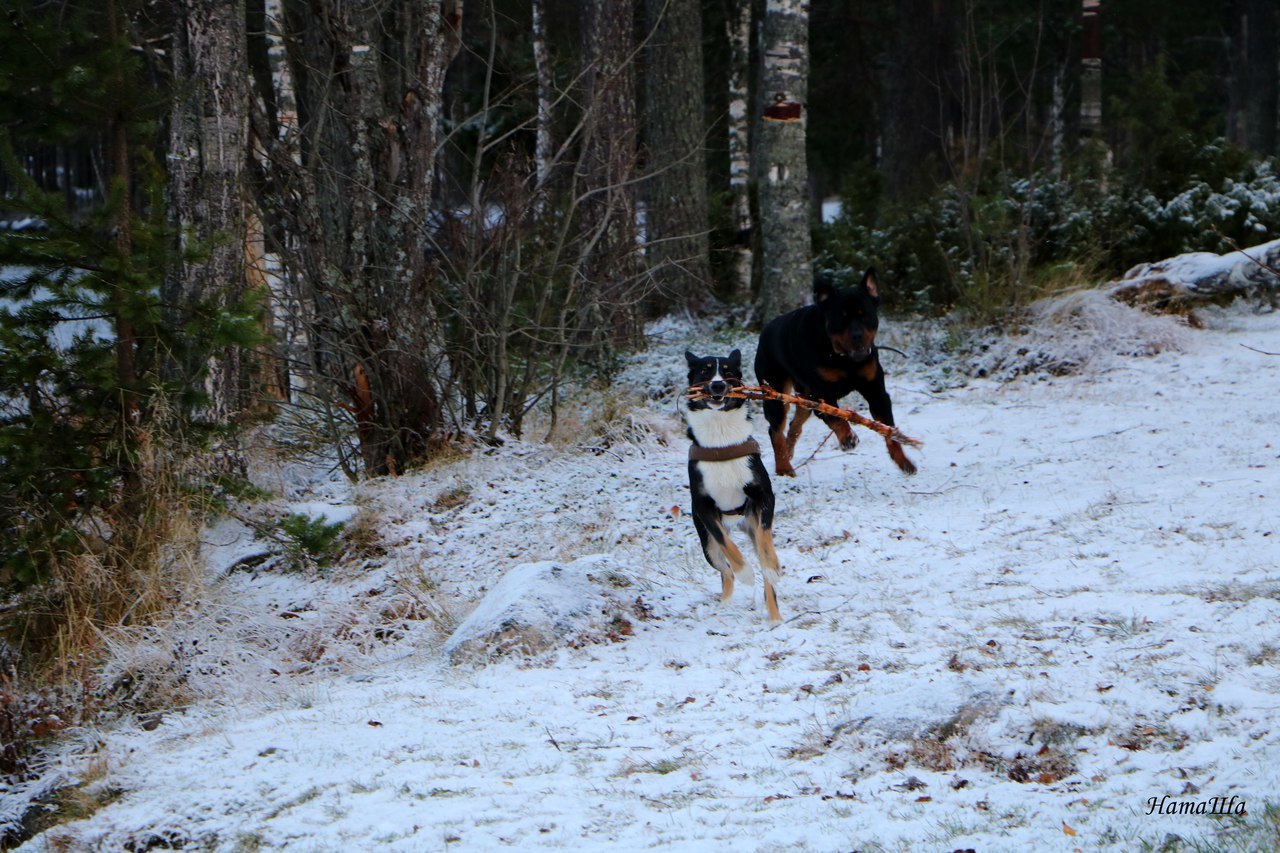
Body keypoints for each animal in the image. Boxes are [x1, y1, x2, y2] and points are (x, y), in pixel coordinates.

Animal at [686, 348, 783, 622]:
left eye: (729, 372)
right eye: (705, 371)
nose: (718, 385)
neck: (721, 440)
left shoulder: (764, 497)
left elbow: (765, 540)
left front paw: (772, 567)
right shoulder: (703, 507)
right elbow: (728, 547)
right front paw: (746, 574)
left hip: (748, 521)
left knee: (767, 582)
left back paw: (776, 620)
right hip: (707, 546)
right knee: (725, 570)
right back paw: (725, 602)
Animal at [752, 266, 916, 473]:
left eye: (865, 315)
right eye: (841, 319)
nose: (857, 335)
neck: (843, 358)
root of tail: (764, 333)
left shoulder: (876, 393)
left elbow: (888, 429)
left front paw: (903, 461)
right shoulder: (823, 394)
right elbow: (836, 418)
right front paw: (847, 438)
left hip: (805, 396)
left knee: (795, 423)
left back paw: (788, 453)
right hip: (776, 392)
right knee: (775, 429)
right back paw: (783, 467)